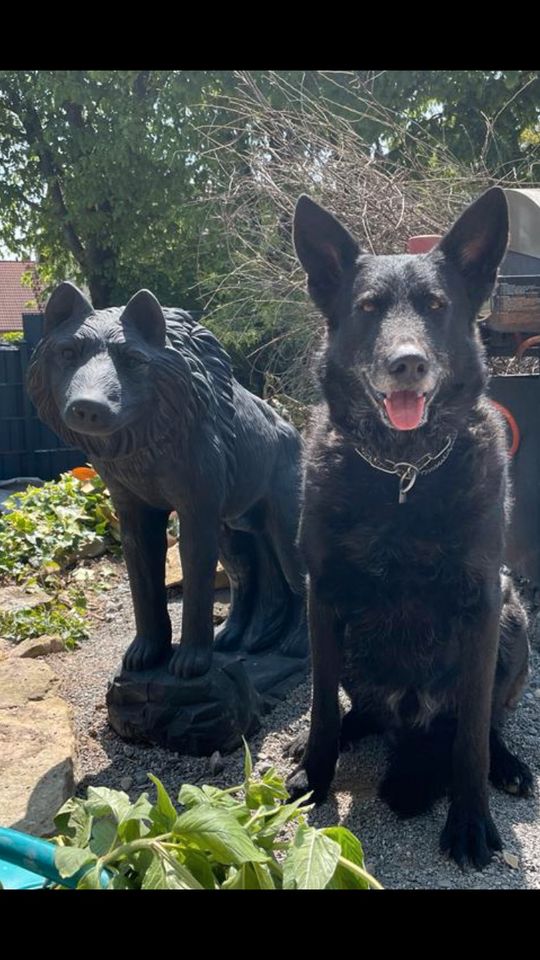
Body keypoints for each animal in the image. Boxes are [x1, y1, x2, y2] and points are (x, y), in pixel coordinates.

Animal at [27, 282, 306, 680]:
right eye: (68, 353)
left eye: (132, 359)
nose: (88, 408)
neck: (148, 447)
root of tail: (296, 434)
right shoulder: (134, 512)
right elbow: (143, 585)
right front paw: (147, 652)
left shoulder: (196, 513)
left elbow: (196, 585)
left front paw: (191, 660)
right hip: (234, 533)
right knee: (246, 581)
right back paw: (233, 638)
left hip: (284, 529)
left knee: (301, 582)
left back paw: (297, 644)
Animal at [288, 188, 532, 872]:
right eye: (369, 308)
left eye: (437, 307)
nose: (408, 364)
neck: (404, 473)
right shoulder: (322, 595)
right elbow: (320, 706)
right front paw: (315, 772)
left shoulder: (482, 602)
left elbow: (471, 735)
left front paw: (471, 819)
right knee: (355, 708)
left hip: (514, 617)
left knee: (485, 721)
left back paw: (506, 764)